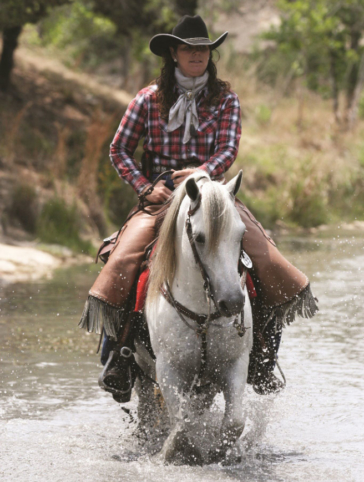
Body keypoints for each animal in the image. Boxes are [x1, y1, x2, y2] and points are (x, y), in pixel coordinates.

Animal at [134, 172, 253, 464]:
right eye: (199, 237)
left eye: (241, 233)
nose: (233, 301)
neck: (202, 316)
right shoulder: (168, 370)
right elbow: (182, 423)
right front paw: (172, 452)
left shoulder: (235, 364)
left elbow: (234, 422)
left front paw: (217, 453)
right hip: (142, 367)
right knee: (148, 408)